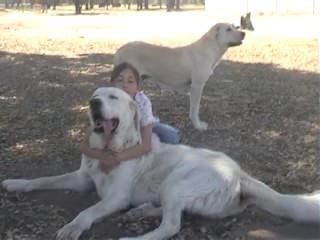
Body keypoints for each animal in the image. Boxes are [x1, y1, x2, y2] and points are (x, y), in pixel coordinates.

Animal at [1, 87, 318, 240]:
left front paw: (73, 228)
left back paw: (133, 238)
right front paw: (15, 183)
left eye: (112, 96)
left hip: (178, 183)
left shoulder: (116, 197)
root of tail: (240, 174)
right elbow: (42, 180)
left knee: (172, 226)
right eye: (94, 96)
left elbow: (87, 211)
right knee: (171, 214)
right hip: (174, 191)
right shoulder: (81, 178)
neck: (112, 147)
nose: (93, 104)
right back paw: (140, 212)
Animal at [114, 22, 246, 131]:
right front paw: (198, 126)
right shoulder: (197, 86)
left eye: (235, 27)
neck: (210, 49)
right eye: (228, 29)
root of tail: (119, 50)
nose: (244, 33)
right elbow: (195, 109)